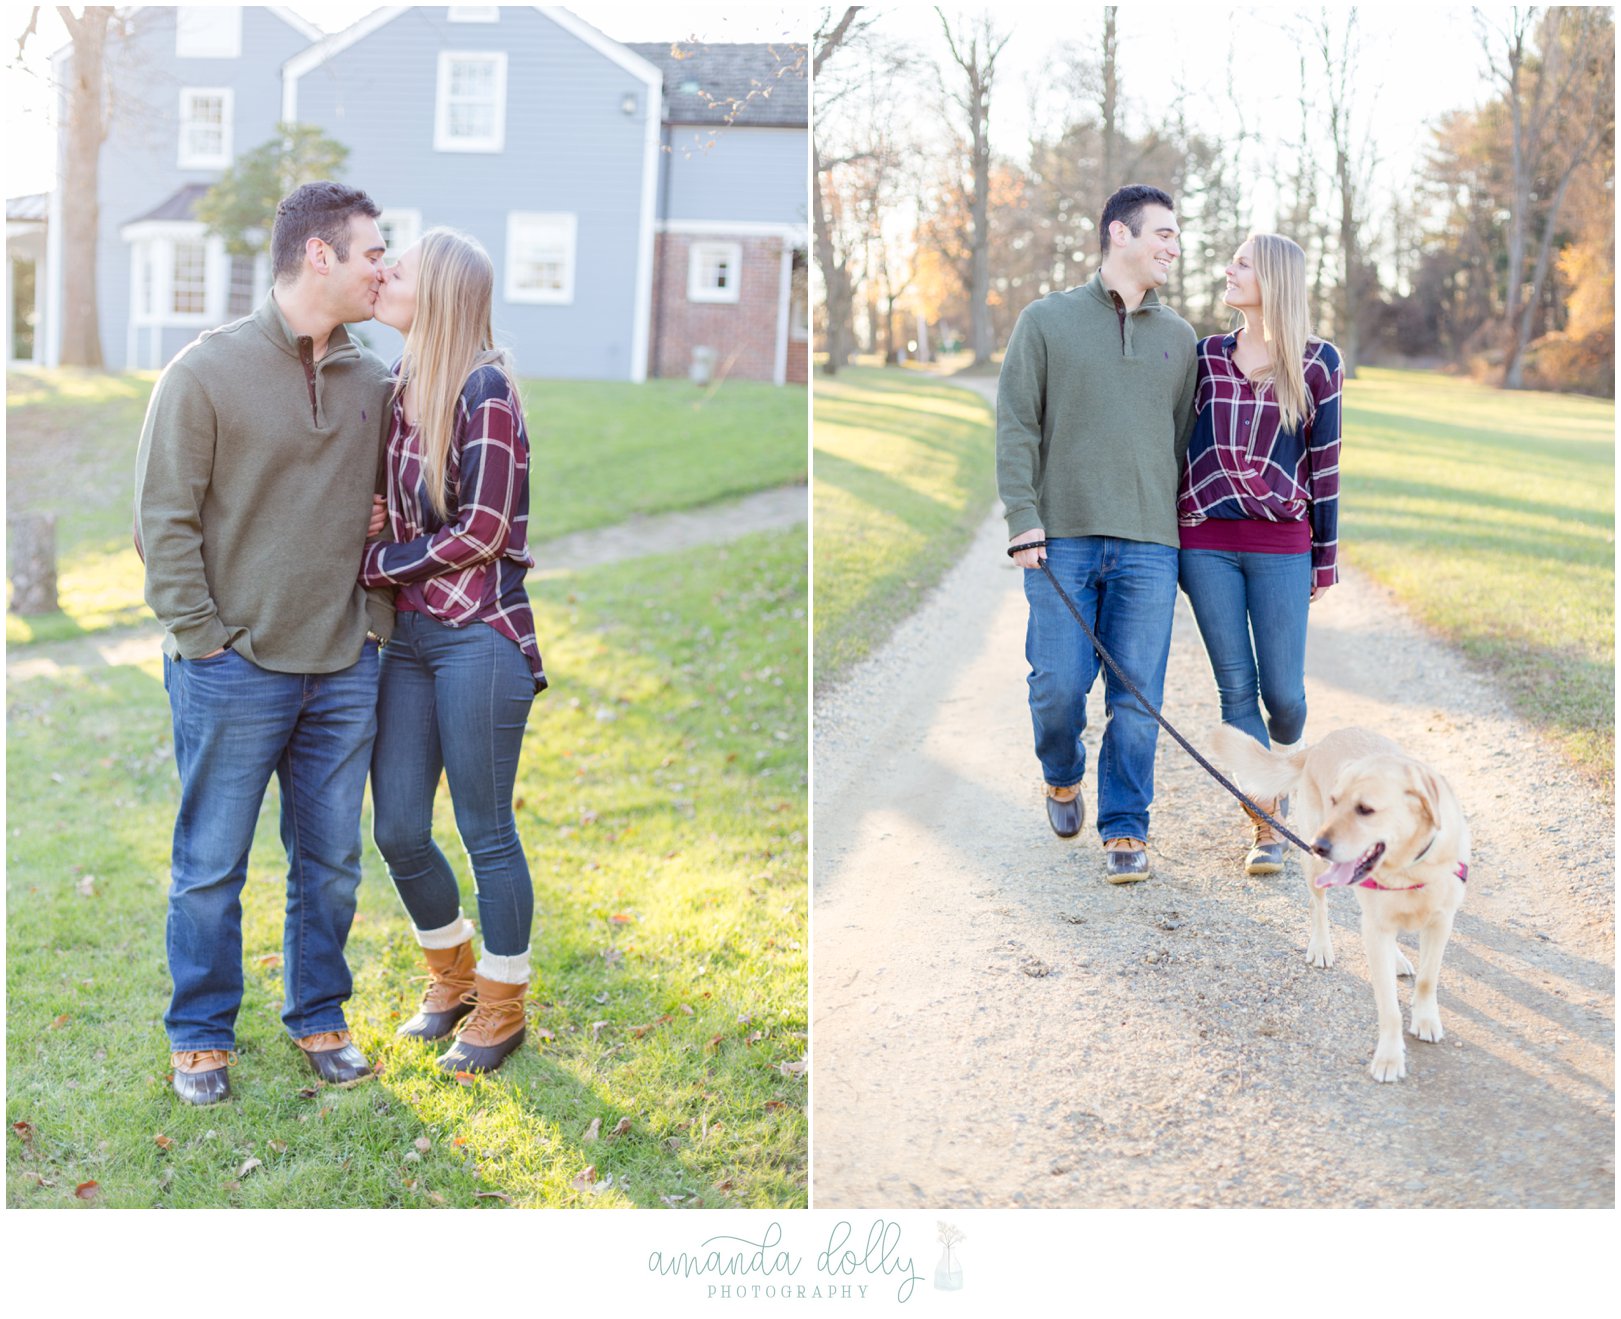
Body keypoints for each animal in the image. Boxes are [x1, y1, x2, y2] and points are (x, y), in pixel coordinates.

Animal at [1218, 729, 1471, 1088]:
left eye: (1366, 809)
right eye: (1335, 801)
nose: (1317, 845)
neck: (1408, 869)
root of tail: (1321, 743)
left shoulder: (1440, 923)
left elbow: (1427, 979)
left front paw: (1425, 1019)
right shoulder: (1377, 929)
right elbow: (1389, 1007)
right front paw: (1389, 1057)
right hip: (1315, 869)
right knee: (1319, 907)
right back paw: (1321, 947)